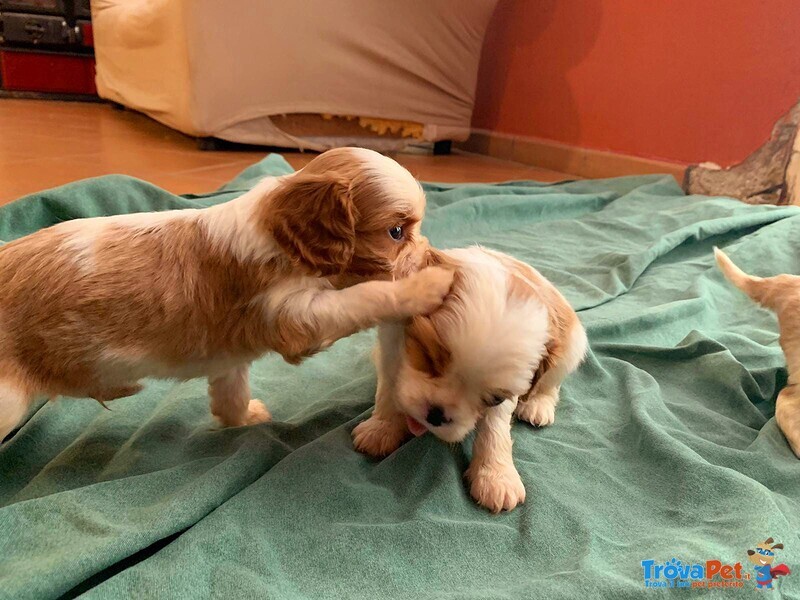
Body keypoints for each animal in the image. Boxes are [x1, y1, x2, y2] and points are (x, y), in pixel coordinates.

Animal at [0, 149, 454, 440]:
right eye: (396, 232)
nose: (429, 254)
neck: (274, 235)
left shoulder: (228, 355)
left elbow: (230, 392)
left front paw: (244, 418)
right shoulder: (292, 316)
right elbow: (365, 298)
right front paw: (427, 285)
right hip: (8, 396)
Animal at [354, 246, 584, 512]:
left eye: (493, 399)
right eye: (428, 357)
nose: (436, 414)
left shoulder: (510, 392)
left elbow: (495, 428)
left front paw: (496, 476)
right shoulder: (391, 343)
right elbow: (389, 388)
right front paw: (381, 428)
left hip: (571, 350)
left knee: (550, 385)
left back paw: (537, 405)